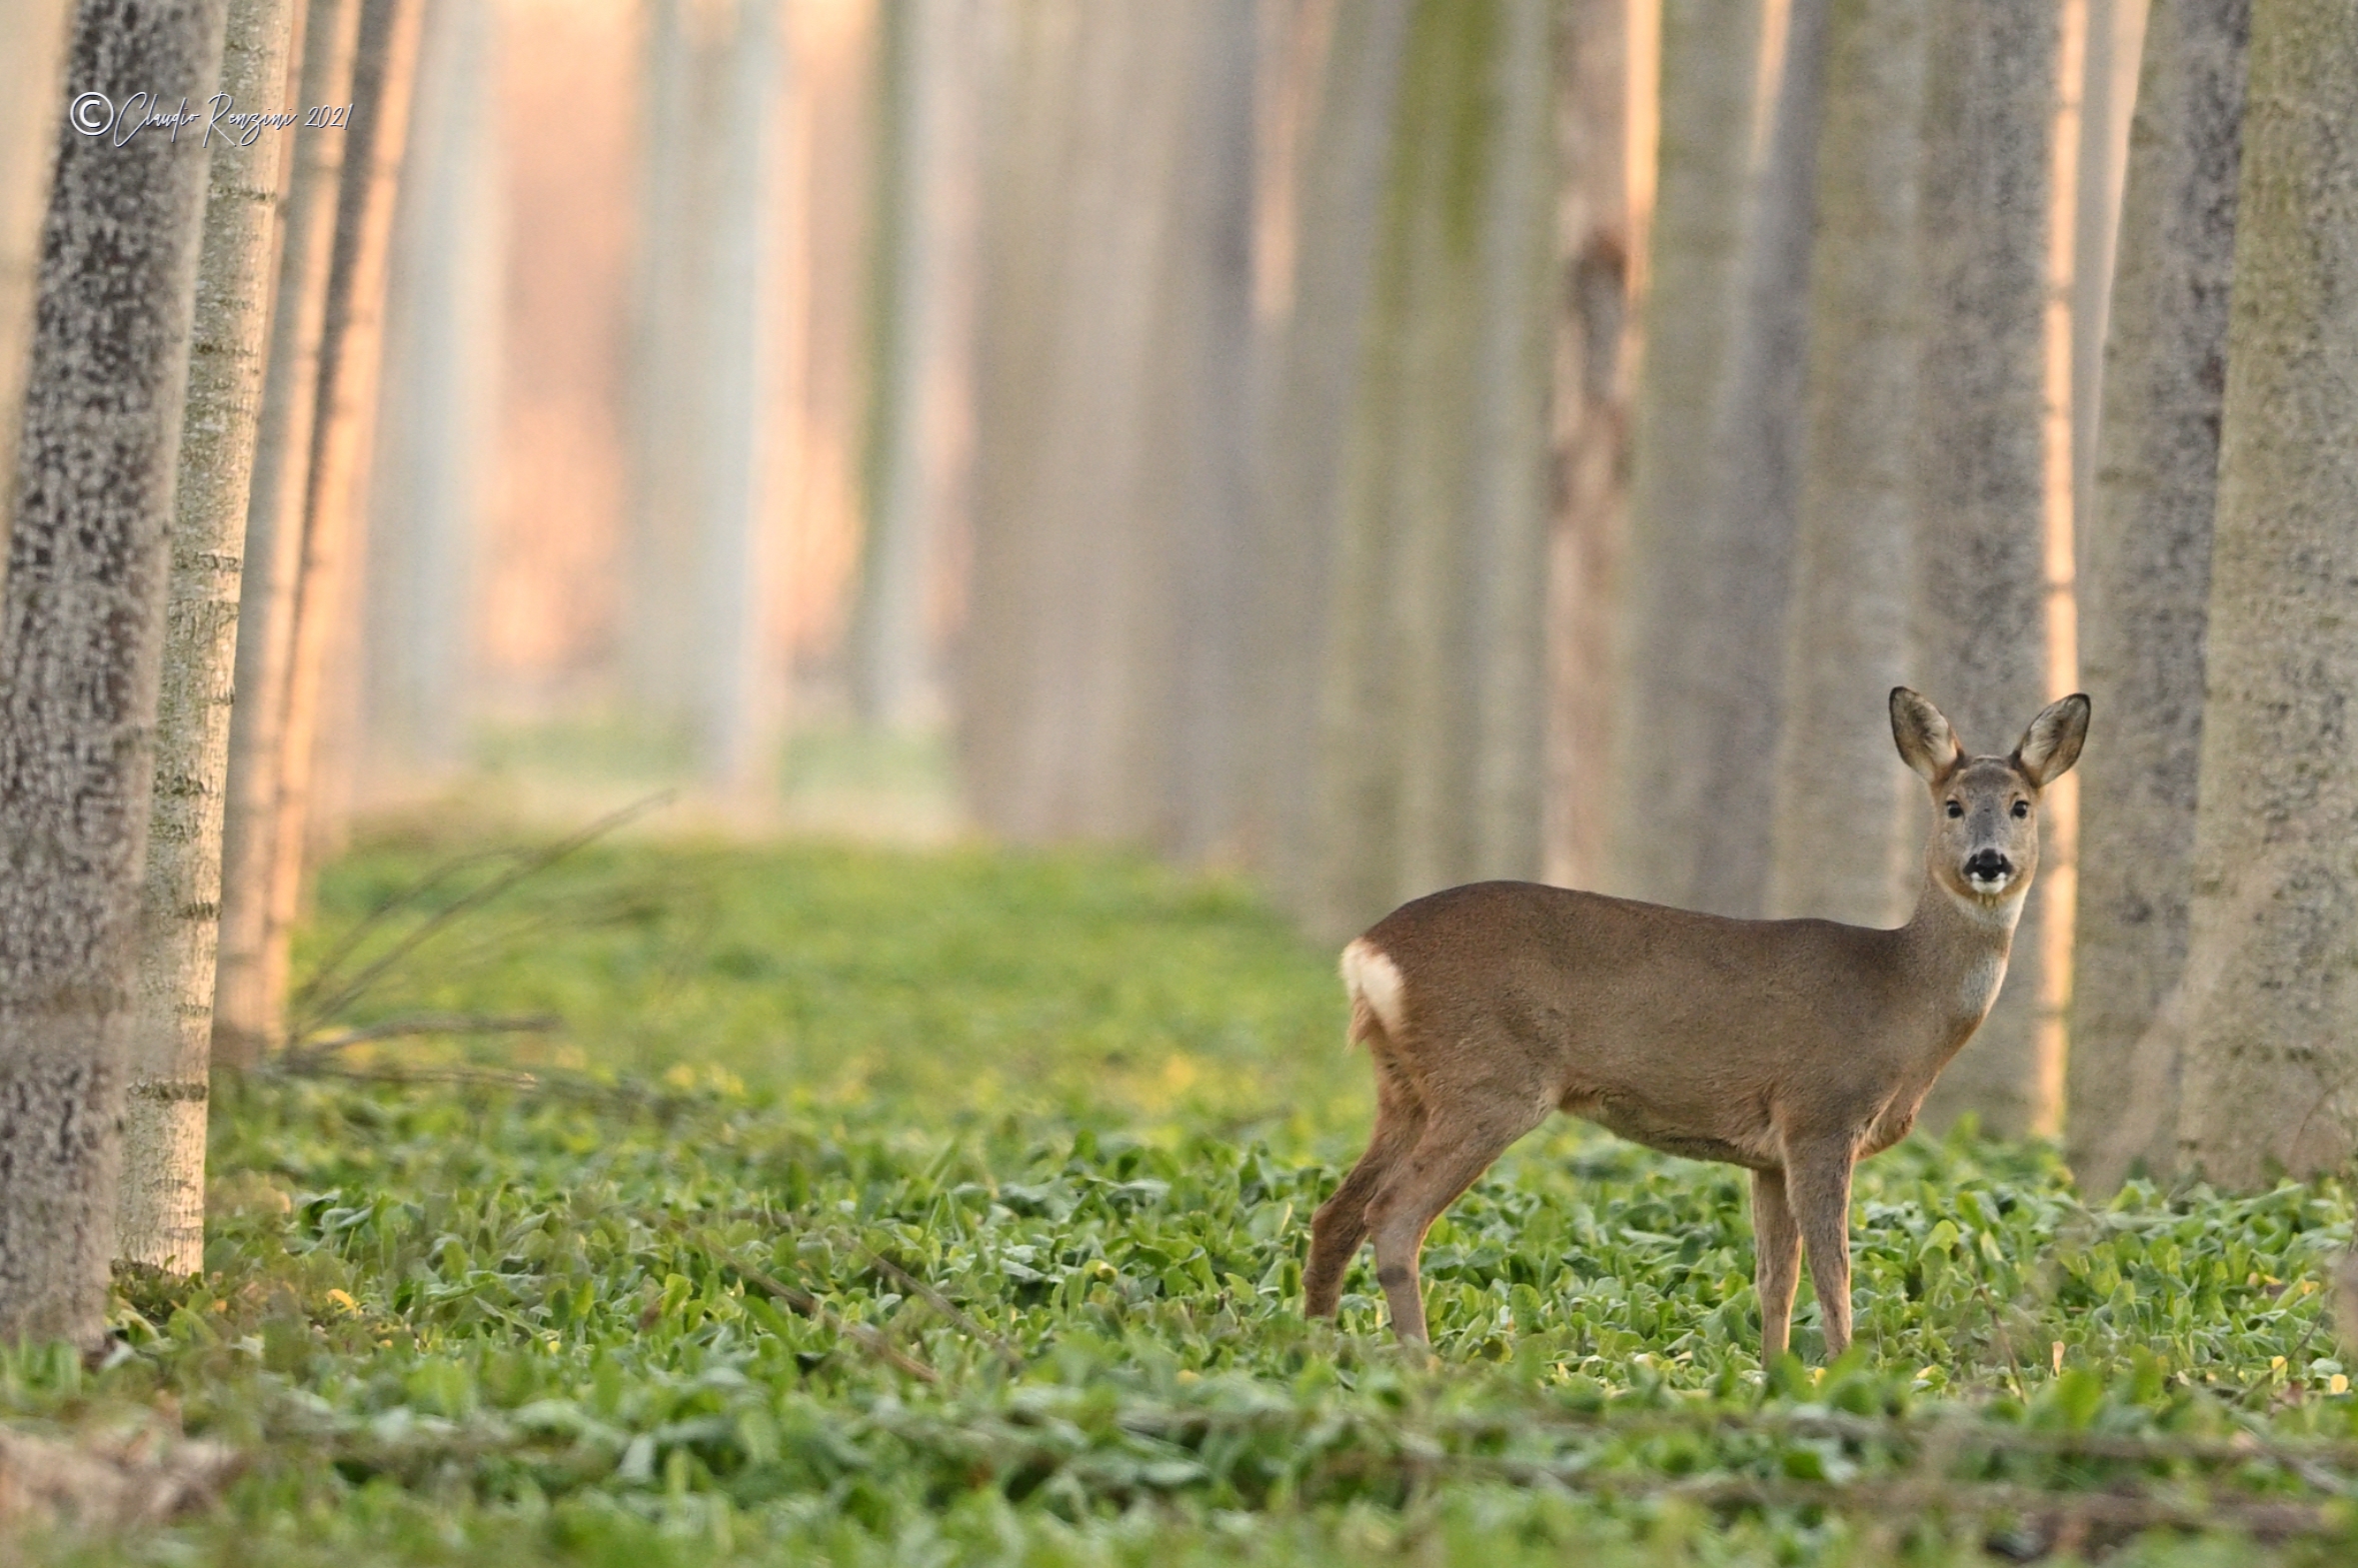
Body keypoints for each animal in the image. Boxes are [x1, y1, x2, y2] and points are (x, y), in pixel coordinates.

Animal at [1302, 688, 2089, 1361]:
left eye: (2021, 806)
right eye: (1952, 805)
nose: (1987, 861)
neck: (1900, 994)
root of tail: (1367, 952)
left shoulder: (1769, 1152)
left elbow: (1776, 1278)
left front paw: (1774, 1375)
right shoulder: (1819, 1113)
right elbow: (1832, 1270)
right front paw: (1848, 1374)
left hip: (1405, 1087)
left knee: (1335, 1212)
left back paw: (1311, 1349)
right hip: (1486, 1079)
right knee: (1393, 1214)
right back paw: (1421, 1364)